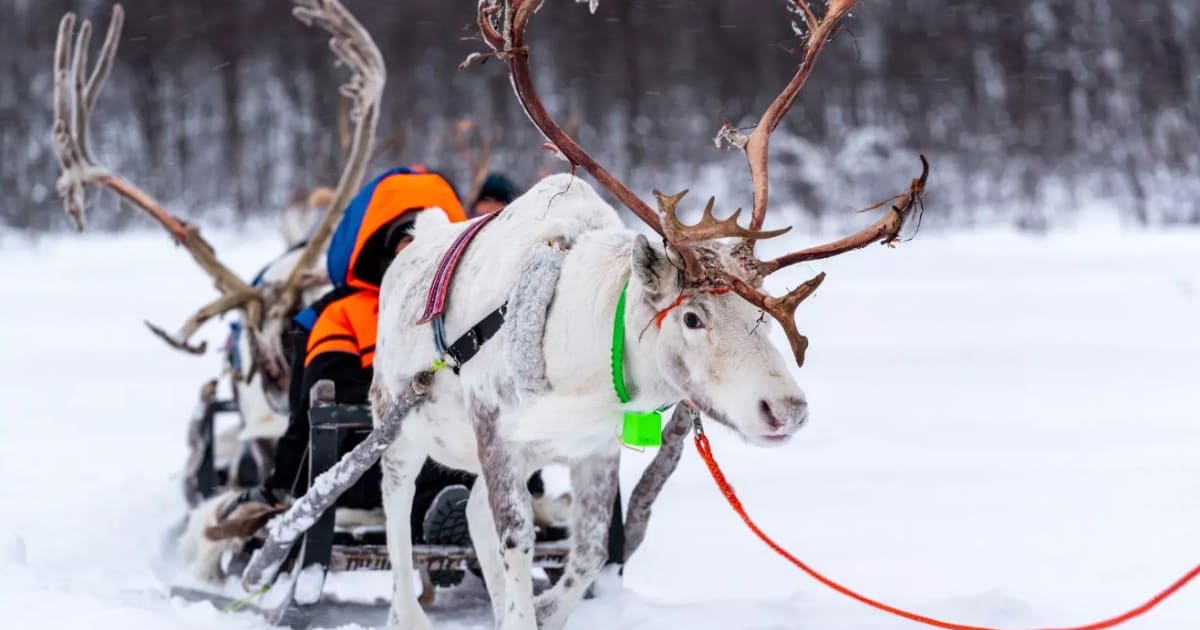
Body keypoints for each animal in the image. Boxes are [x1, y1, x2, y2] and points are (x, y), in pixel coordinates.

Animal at [365, 1, 927, 629]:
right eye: (692, 318)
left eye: (764, 317)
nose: (787, 409)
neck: (577, 355)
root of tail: (419, 236)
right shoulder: (496, 431)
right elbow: (517, 542)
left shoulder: (594, 450)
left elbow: (585, 554)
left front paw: (541, 607)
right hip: (396, 420)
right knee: (397, 507)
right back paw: (406, 611)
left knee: (474, 519)